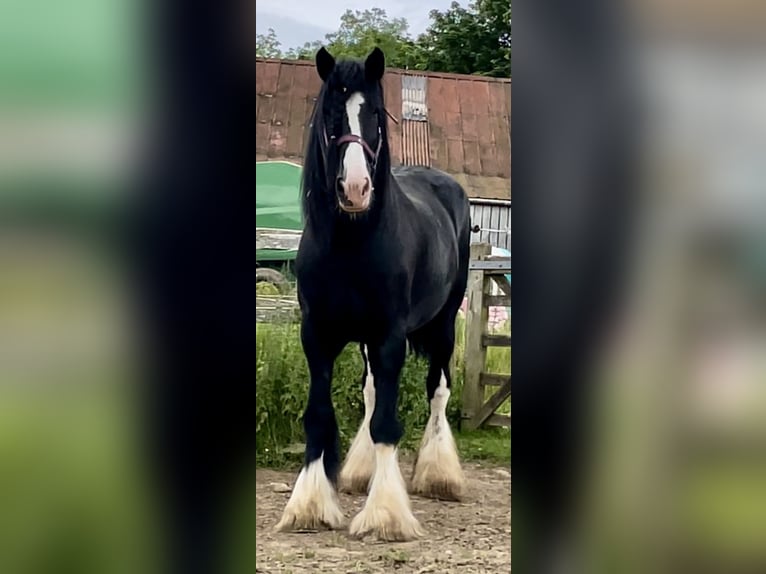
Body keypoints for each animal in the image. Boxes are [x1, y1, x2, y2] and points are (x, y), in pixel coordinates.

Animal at [272, 47, 472, 544]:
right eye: (329, 115)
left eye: (376, 116)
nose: (356, 189)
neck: (352, 244)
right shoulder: (317, 336)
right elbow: (320, 415)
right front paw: (309, 505)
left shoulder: (389, 338)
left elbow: (386, 421)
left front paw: (385, 516)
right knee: (369, 391)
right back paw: (361, 473)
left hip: (442, 325)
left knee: (438, 390)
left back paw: (439, 476)